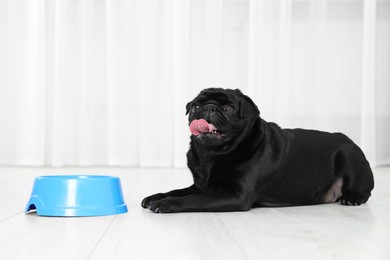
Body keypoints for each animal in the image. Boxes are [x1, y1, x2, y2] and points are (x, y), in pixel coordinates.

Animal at [141, 88, 374, 212]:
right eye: (196, 106)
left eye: (228, 109)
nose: (209, 108)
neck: (212, 156)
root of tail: (348, 139)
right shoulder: (202, 186)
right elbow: (178, 191)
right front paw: (155, 197)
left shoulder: (235, 195)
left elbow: (189, 199)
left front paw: (166, 203)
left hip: (349, 155)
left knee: (365, 191)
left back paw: (352, 198)